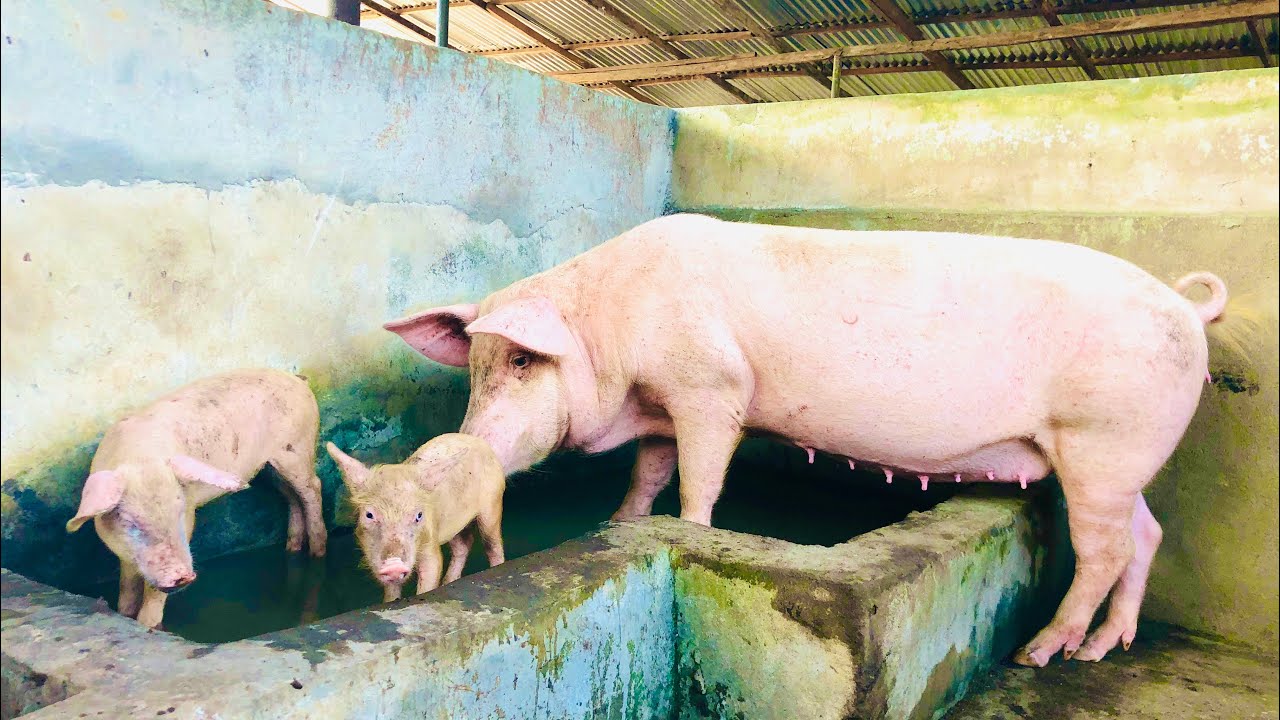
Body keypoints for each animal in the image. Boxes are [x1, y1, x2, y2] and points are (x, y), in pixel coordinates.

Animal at [65, 369, 328, 629]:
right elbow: (127, 585)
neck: (140, 460)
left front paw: (149, 626)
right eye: (131, 522)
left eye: (179, 511)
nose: (182, 575)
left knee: (312, 487)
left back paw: (317, 552)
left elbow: (152, 593)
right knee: (292, 497)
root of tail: (298, 380)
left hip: (297, 449)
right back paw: (292, 548)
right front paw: (124, 614)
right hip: (270, 466)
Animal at [325, 433, 506, 602]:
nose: (394, 565)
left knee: (492, 545)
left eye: (418, 515)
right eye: (369, 514)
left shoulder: (430, 543)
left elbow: (432, 570)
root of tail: (478, 441)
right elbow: (391, 591)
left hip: (492, 502)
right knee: (464, 544)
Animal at [383, 213, 1230, 667]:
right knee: (1145, 534)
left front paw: (689, 530)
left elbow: (700, 481)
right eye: (477, 367)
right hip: (1119, 460)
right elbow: (648, 475)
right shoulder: (663, 407)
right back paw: (1104, 647)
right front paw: (617, 524)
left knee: (1104, 549)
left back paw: (1041, 651)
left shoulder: (712, 387)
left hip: (1102, 439)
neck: (615, 332)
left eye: (523, 361)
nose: (462, 448)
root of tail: (1187, 310)